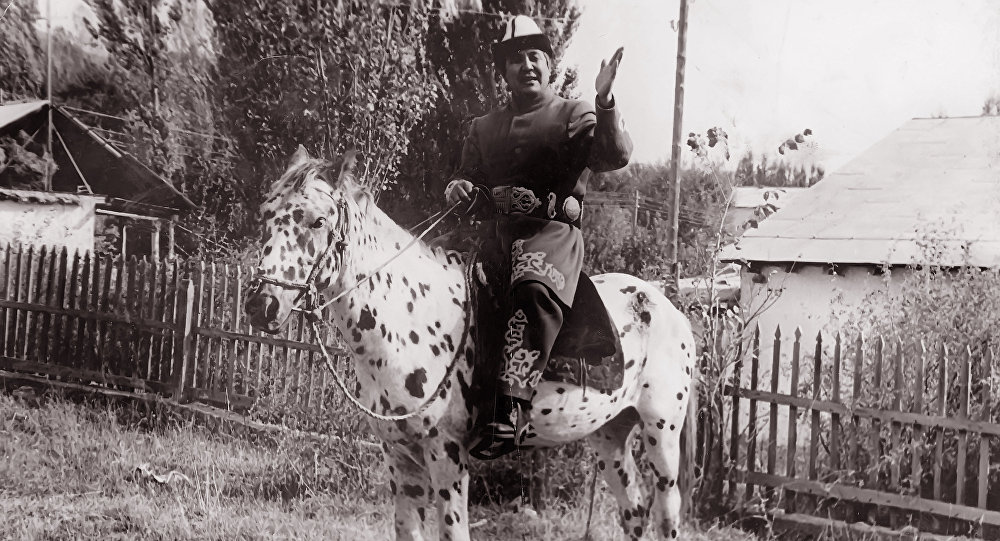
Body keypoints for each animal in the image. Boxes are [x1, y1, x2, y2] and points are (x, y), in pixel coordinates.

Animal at [245, 146, 698, 541]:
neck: (410, 319)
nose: (261, 305)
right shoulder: (400, 458)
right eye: (265, 214)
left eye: (318, 221)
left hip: (662, 433)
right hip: (609, 435)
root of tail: (668, 306)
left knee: (667, 516)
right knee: (633, 512)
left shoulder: (447, 457)